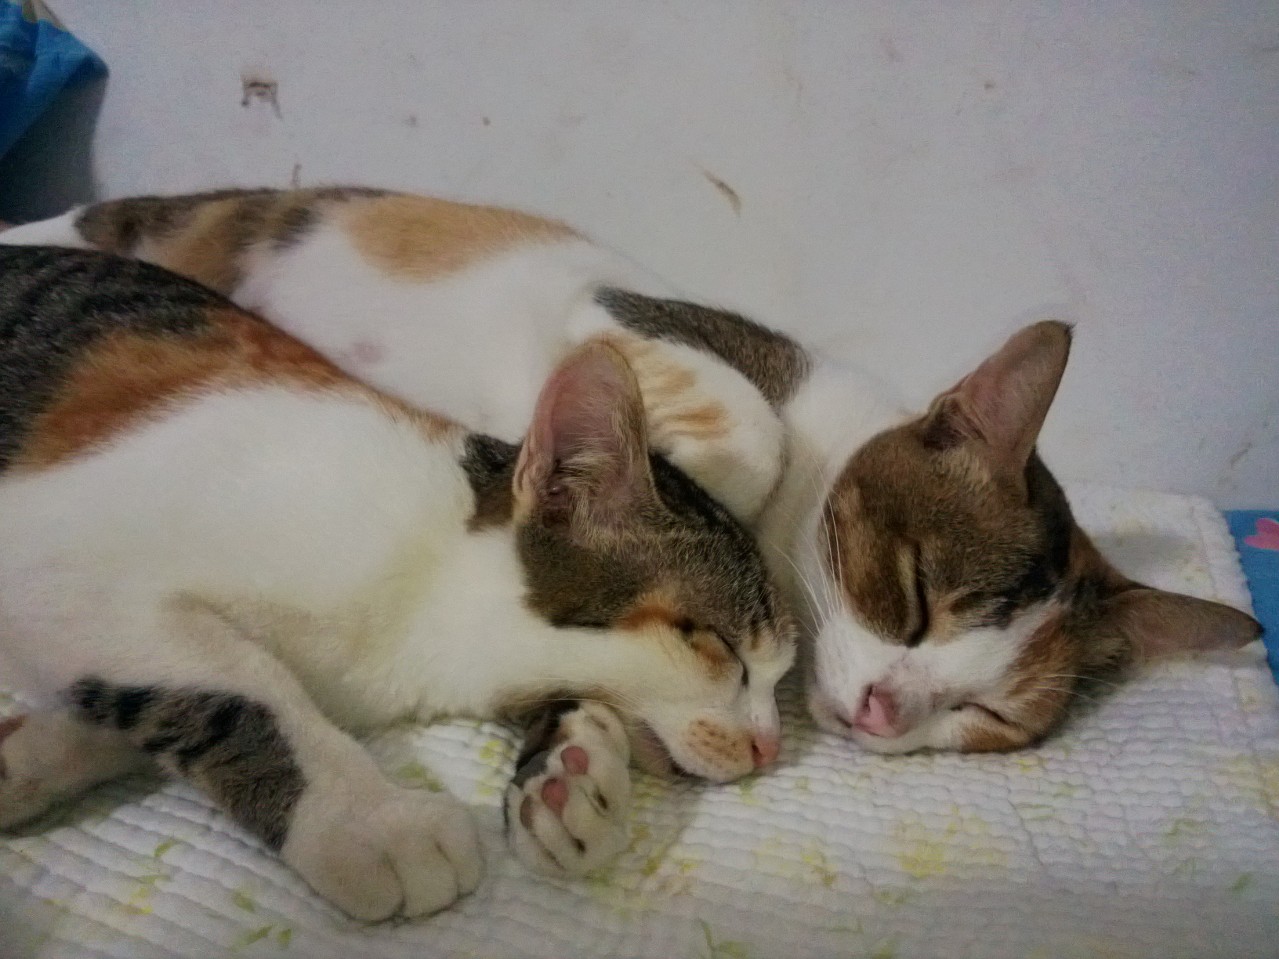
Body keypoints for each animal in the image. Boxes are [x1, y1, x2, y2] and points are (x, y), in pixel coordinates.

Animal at [0, 245, 796, 920]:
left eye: (780, 674)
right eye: (721, 645)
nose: (770, 747)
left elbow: (127, 704)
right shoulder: (63, 575)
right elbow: (242, 680)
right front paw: (365, 819)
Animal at [3, 189, 1260, 754]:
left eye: (986, 712)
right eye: (916, 598)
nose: (881, 710)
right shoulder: (626, 308)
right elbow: (741, 430)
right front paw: (656, 463)